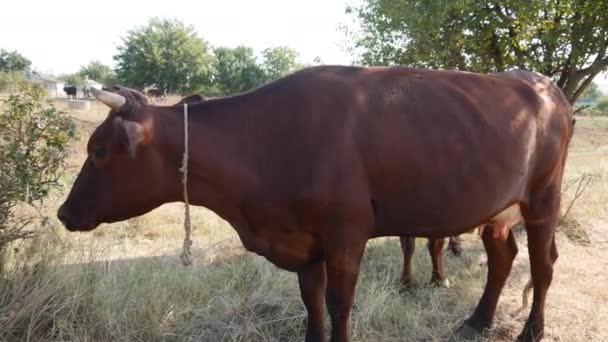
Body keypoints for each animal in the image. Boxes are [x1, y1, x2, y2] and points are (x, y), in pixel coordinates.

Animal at [57, 65, 576, 340]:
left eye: (99, 151)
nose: (63, 213)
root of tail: (542, 83)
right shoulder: (304, 242)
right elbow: (312, 302)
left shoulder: (345, 234)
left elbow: (339, 302)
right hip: (498, 208)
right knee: (503, 257)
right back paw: (478, 320)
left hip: (543, 199)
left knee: (543, 265)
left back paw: (532, 329)